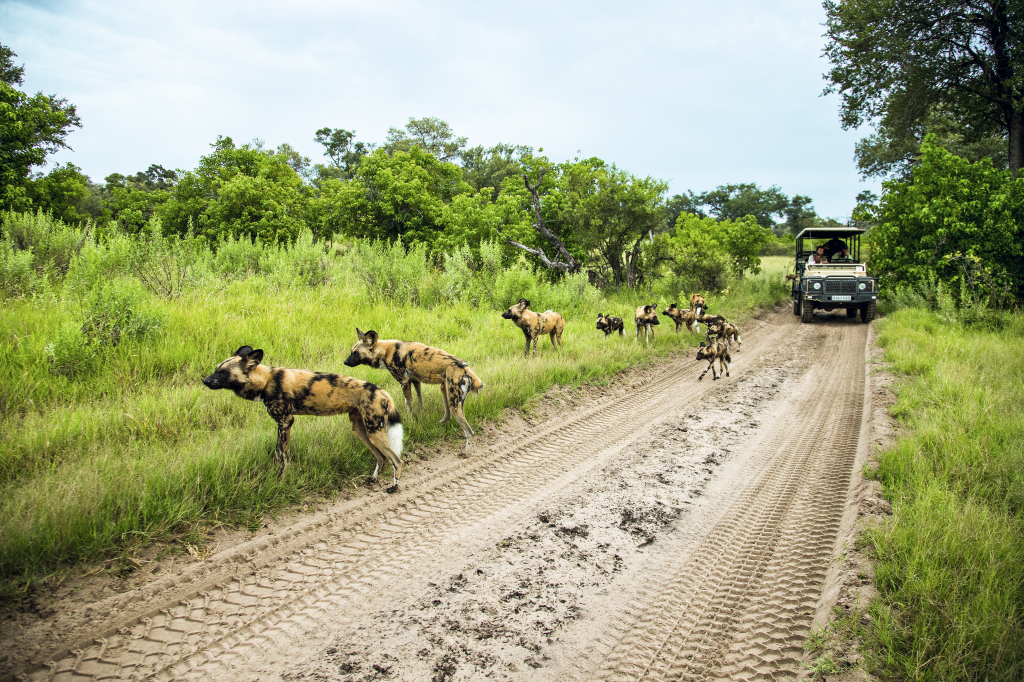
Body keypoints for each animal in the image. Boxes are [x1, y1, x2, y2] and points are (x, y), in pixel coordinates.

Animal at [201, 348, 405, 485]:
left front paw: (281, 479)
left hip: (374, 431)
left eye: (224, 372)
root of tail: (382, 391)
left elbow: (283, 455)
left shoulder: (285, 422)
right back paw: (373, 479)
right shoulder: (282, 424)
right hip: (361, 430)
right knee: (381, 457)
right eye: (216, 369)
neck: (266, 381)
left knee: (396, 459)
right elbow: (278, 454)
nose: (204, 381)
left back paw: (393, 487)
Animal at [344, 329, 483, 450]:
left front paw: (411, 420)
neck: (386, 351)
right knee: (448, 416)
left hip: (454, 402)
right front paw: (421, 417)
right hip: (446, 391)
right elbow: (420, 401)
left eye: (355, 352)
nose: (345, 362)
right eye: (351, 351)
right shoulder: (416, 381)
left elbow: (408, 404)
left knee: (469, 432)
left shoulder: (404, 382)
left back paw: (464, 454)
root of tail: (465, 368)